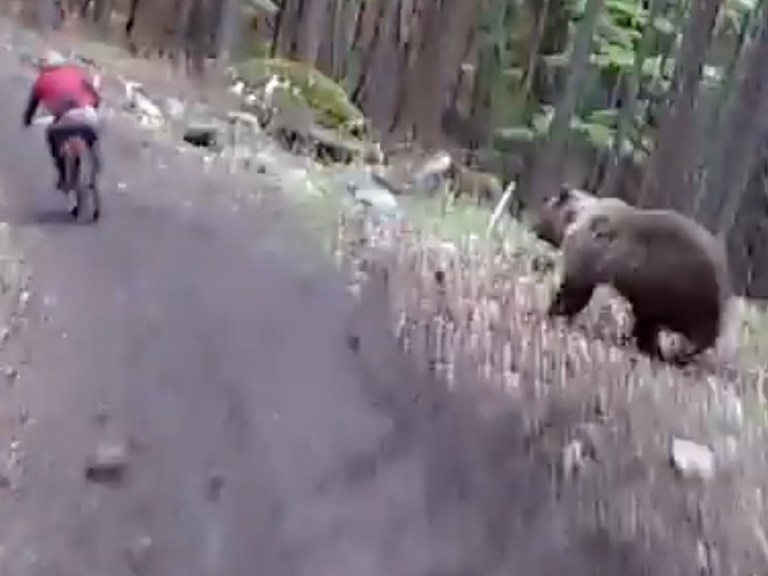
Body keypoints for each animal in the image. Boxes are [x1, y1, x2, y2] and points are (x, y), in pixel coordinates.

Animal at [531, 186, 734, 364]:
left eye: (545, 203)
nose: (534, 228)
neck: (576, 217)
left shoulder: (589, 255)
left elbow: (574, 290)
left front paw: (554, 311)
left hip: (676, 288)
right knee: (650, 323)